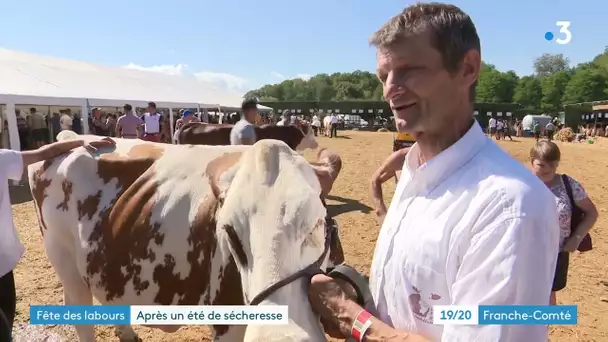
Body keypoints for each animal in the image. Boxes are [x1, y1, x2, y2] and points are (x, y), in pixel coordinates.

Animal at [27, 136, 342, 342]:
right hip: (64, 261)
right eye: (229, 232)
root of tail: (71, 139)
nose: (277, 335)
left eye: (317, 224)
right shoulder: (227, 322)